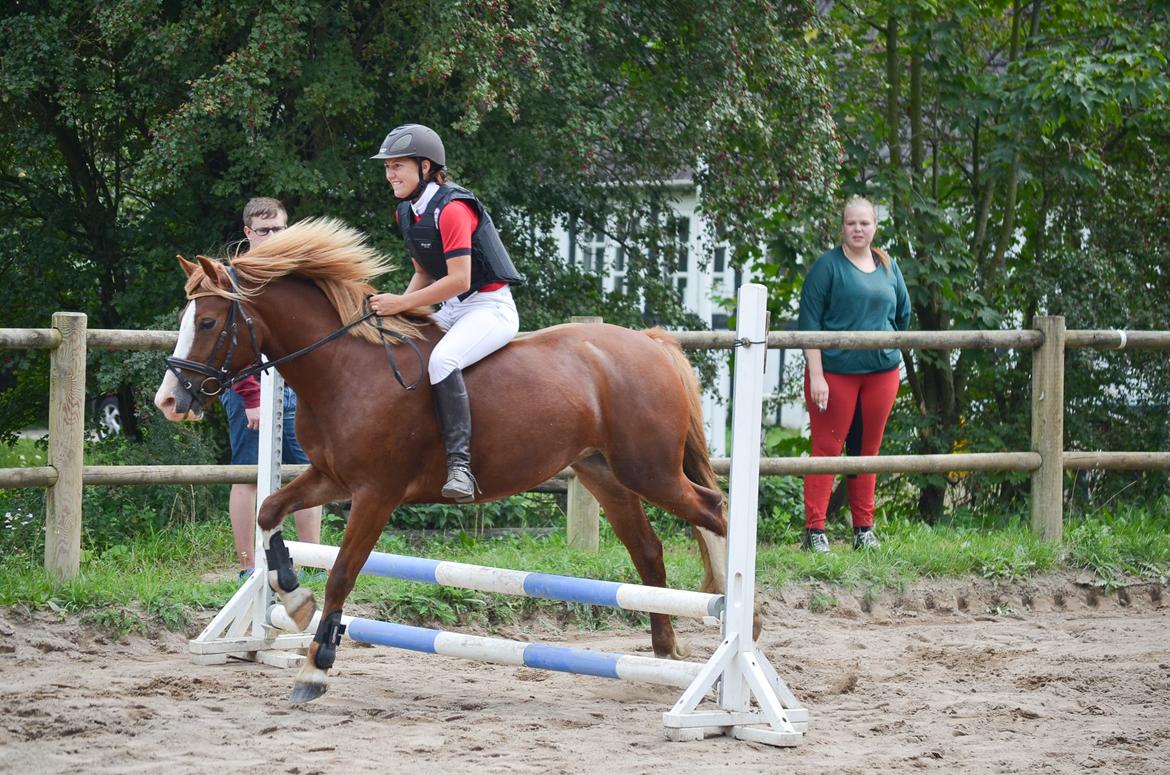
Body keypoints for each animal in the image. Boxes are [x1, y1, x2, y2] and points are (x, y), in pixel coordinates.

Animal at [157, 218, 730, 702]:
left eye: (207, 322)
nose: (169, 401)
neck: (344, 367)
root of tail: (650, 344)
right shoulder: (330, 477)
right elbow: (268, 512)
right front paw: (295, 603)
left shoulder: (377, 492)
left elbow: (342, 571)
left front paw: (315, 668)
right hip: (605, 474)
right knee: (649, 550)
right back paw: (665, 653)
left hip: (649, 470)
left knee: (714, 509)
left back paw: (733, 623)